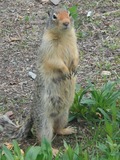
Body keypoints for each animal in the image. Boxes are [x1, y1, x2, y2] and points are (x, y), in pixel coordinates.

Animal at [10, 7, 79, 155]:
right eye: (54, 16)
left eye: (69, 14)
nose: (66, 23)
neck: (63, 37)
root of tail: (31, 113)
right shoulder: (49, 49)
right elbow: (56, 62)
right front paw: (66, 71)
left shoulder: (74, 46)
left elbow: (76, 57)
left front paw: (75, 68)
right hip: (44, 123)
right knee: (43, 140)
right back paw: (53, 150)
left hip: (64, 115)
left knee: (57, 129)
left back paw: (68, 130)